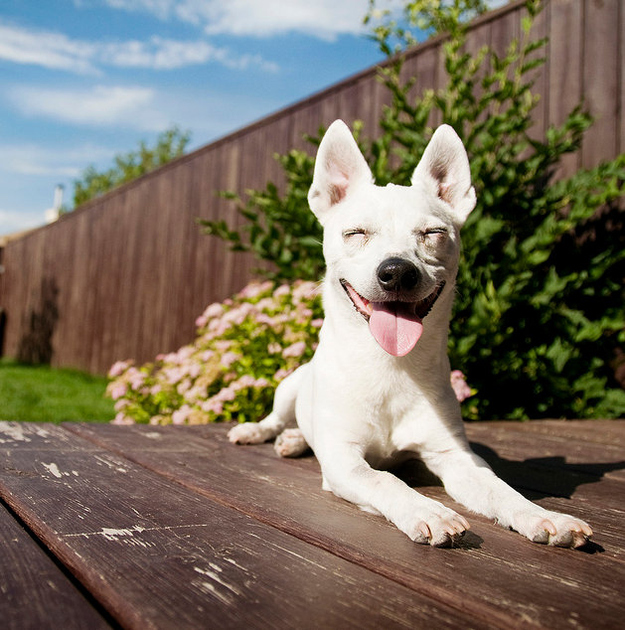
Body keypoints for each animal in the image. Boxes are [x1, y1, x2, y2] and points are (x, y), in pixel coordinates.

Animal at [228, 119, 588, 548]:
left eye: (433, 233)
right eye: (356, 233)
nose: (398, 271)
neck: (389, 364)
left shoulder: (456, 457)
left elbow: (500, 489)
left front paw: (542, 515)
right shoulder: (345, 462)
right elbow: (383, 479)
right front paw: (427, 510)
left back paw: (296, 440)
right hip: (289, 387)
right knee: (277, 418)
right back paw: (262, 431)